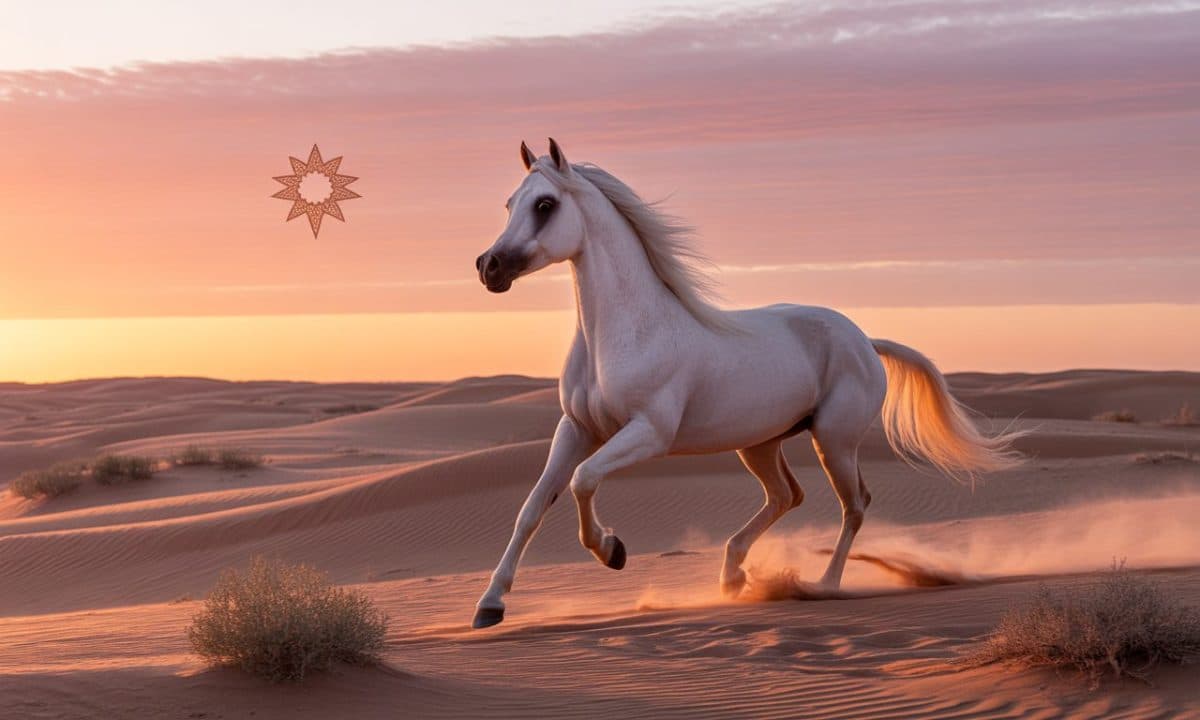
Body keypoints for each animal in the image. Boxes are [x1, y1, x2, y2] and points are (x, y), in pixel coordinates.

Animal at [470, 139, 1022, 629]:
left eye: (545, 204)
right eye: (509, 203)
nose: (488, 267)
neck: (627, 332)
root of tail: (865, 340)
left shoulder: (648, 433)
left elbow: (583, 480)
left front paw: (613, 551)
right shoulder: (576, 429)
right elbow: (533, 507)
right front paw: (490, 605)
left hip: (834, 441)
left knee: (855, 505)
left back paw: (821, 585)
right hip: (759, 444)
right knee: (786, 496)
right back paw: (734, 575)